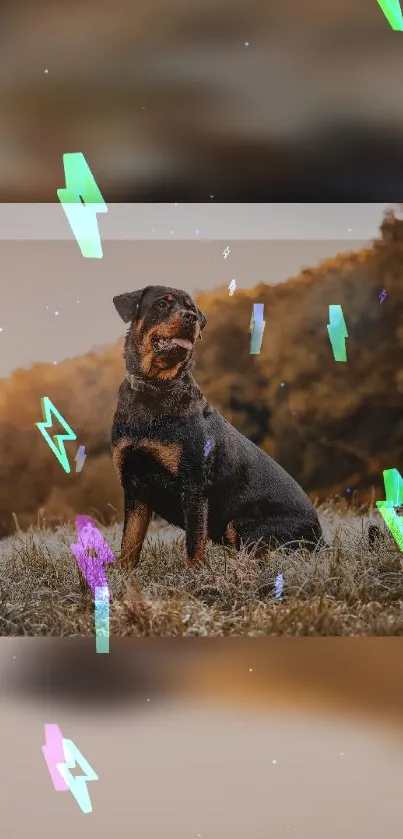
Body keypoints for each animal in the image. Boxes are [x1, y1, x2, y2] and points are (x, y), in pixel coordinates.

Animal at [112, 286, 324, 568]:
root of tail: (321, 538)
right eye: (163, 303)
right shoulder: (134, 486)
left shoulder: (193, 485)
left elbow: (194, 543)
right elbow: (129, 544)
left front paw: (196, 575)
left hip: (243, 526)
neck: (154, 390)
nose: (191, 317)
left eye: (191, 307)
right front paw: (122, 576)